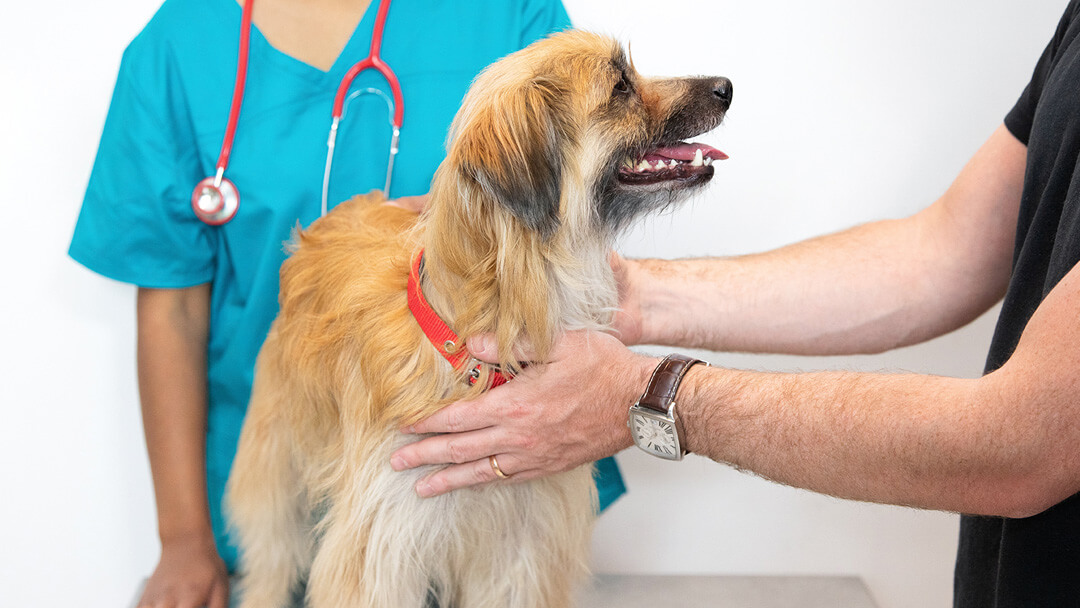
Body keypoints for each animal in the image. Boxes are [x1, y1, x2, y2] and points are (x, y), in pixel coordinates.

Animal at [227, 29, 734, 608]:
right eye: (621, 85)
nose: (727, 87)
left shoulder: (520, 546)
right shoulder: (382, 541)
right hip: (276, 470)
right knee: (270, 560)